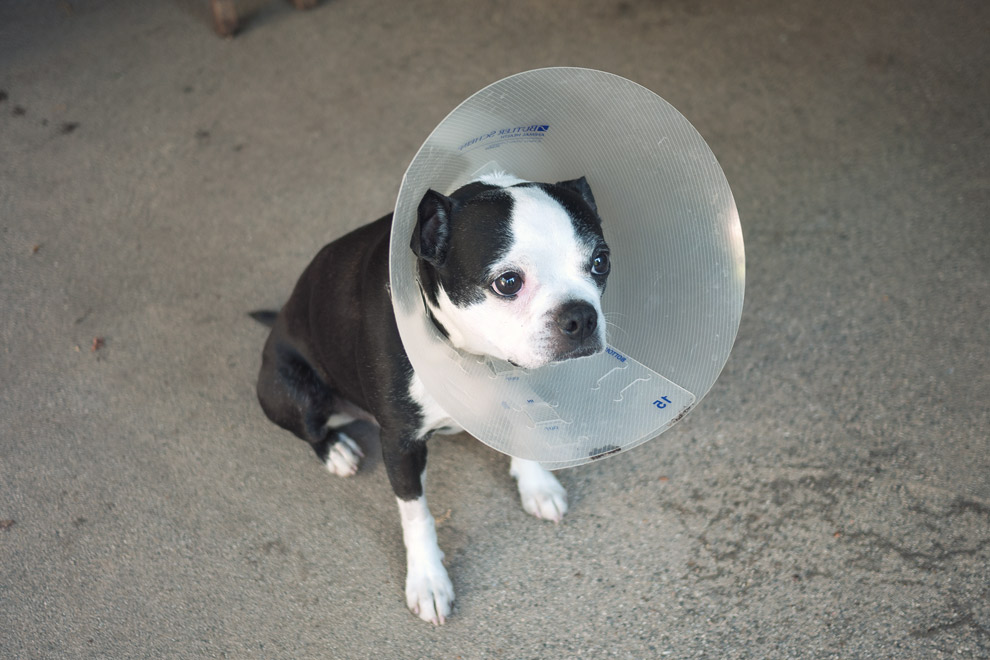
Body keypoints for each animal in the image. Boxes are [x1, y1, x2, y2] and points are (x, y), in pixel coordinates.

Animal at [254, 170, 612, 624]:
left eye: (601, 261)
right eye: (508, 282)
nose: (581, 315)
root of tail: (276, 325)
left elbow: (522, 429)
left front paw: (537, 485)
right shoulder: (400, 443)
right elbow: (417, 515)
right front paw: (428, 582)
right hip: (293, 394)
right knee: (310, 427)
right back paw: (335, 450)